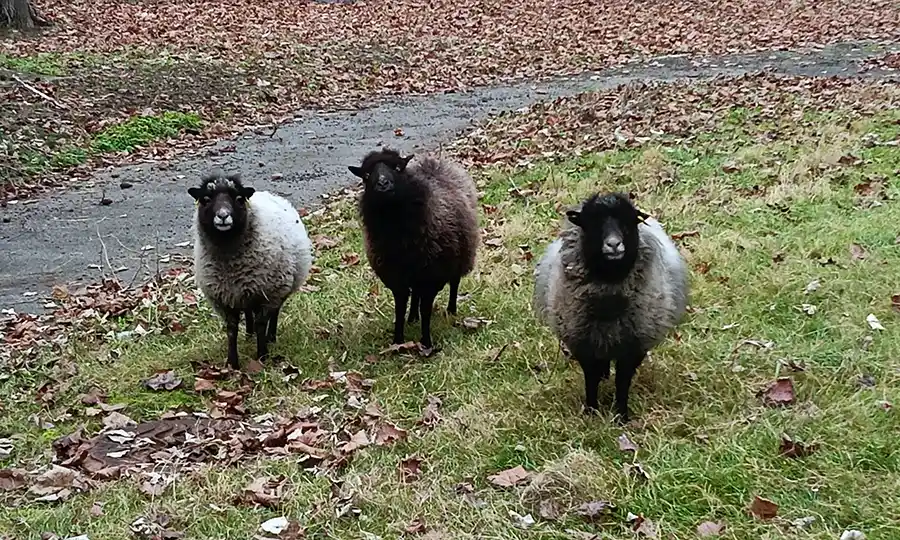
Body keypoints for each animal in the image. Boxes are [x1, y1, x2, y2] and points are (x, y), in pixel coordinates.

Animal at [188, 171, 313, 369]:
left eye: (239, 199)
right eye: (205, 199)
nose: (223, 216)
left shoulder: (268, 293)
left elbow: (262, 323)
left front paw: (262, 356)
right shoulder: (224, 299)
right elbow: (231, 329)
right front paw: (232, 363)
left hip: (277, 287)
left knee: (274, 313)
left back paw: (271, 337)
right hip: (246, 290)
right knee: (248, 312)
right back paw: (248, 335)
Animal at [348, 148, 479, 349]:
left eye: (398, 168)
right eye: (367, 175)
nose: (382, 184)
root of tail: (435, 159)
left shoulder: (431, 276)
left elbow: (426, 310)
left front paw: (426, 343)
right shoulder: (397, 278)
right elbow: (400, 309)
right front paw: (398, 341)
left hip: (461, 254)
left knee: (454, 283)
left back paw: (451, 310)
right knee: (416, 294)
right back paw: (412, 317)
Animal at [533, 191, 689, 423]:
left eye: (629, 220)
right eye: (592, 222)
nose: (614, 245)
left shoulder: (633, 347)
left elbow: (622, 382)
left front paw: (621, 416)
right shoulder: (584, 345)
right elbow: (591, 379)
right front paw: (591, 412)